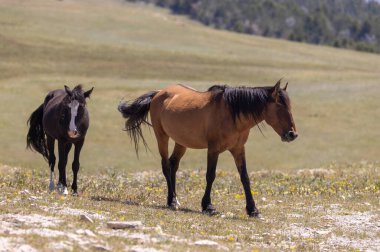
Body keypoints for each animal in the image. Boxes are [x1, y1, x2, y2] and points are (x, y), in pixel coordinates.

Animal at [118, 80, 296, 217]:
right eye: (280, 107)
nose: (292, 134)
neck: (231, 113)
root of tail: (159, 93)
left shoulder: (238, 149)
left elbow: (245, 177)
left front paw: (253, 210)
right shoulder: (213, 149)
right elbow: (210, 176)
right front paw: (208, 206)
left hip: (181, 142)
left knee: (173, 164)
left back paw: (173, 199)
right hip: (161, 136)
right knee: (166, 165)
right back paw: (173, 201)